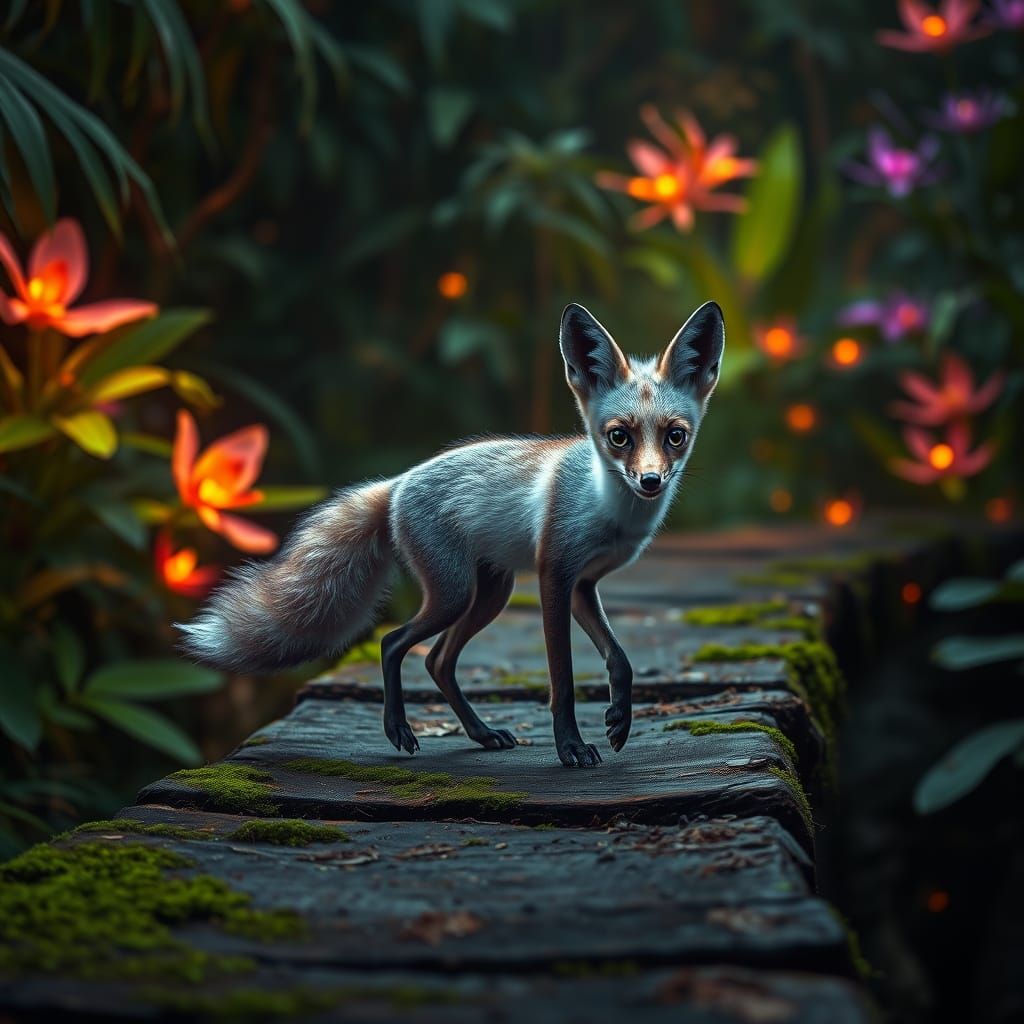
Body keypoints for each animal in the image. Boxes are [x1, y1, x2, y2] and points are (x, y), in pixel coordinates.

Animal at [179, 300, 724, 767]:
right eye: (619, 437)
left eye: (675, 436)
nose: (650, 481)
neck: (606, 508)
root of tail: (396, 483)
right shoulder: (554, 575)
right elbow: (563, 680)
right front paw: (570, 747)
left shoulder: (583, 584)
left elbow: (621, 661)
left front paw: (618, 723)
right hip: (456, 593)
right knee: (393, 643)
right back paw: (399, 730)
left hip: (489, 594)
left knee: (438, 661)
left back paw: (482, 735)